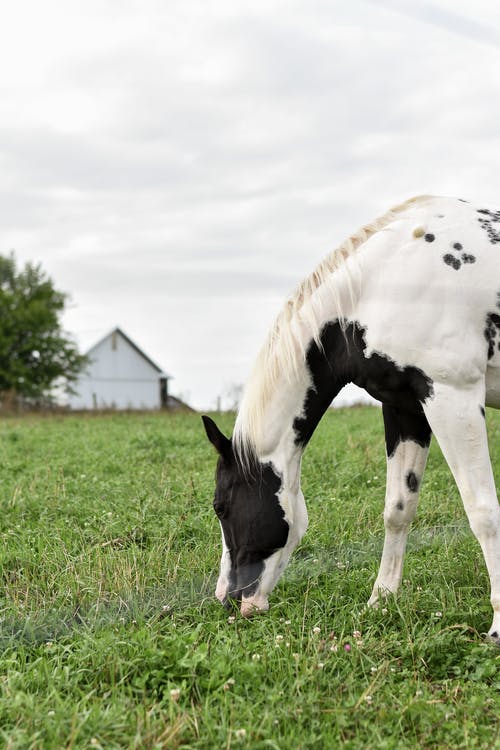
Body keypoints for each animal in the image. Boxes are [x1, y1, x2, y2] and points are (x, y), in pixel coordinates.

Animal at [202, 197, 500, 644]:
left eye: (220, 506)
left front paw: (498, 627)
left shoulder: (453, 396)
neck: (383, 284)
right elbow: (398, 509)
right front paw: (381, 602)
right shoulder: (405, 408)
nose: (228, 599)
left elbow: (483, 512)